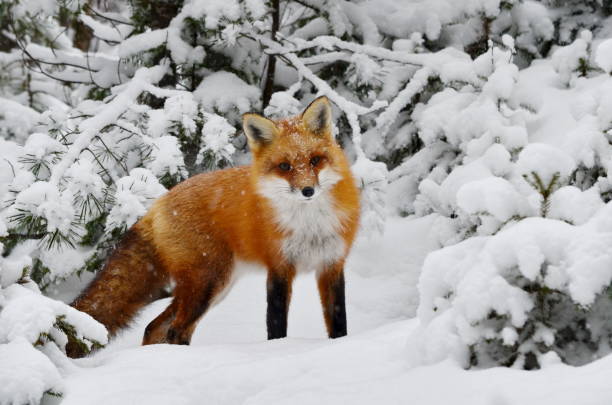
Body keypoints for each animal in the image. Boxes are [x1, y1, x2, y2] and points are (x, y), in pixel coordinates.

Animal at [67, 96, 360, 356]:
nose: (308, 190)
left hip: (212, 286)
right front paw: (276, 352)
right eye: (285, 166)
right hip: (208, 283)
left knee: (154, 327)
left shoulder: (331, 264)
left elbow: (339, 321)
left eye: (315, 160)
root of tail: (159, 202)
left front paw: (340, 347)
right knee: (176, 330)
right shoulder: (278, 267)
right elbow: (276, 325)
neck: (310, 224)